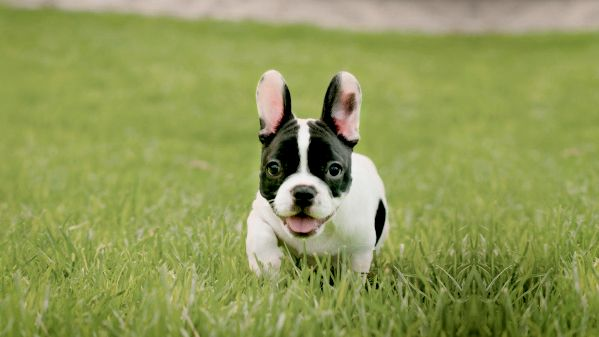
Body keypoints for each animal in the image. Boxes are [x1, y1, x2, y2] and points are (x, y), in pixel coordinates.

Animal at [245, 69, 390, 274]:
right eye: (273, 168)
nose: (303, 192)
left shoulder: (360, 249)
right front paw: (267, 265)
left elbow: (352, 275)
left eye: (334, 170)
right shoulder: (260, 213)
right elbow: (261, 235)